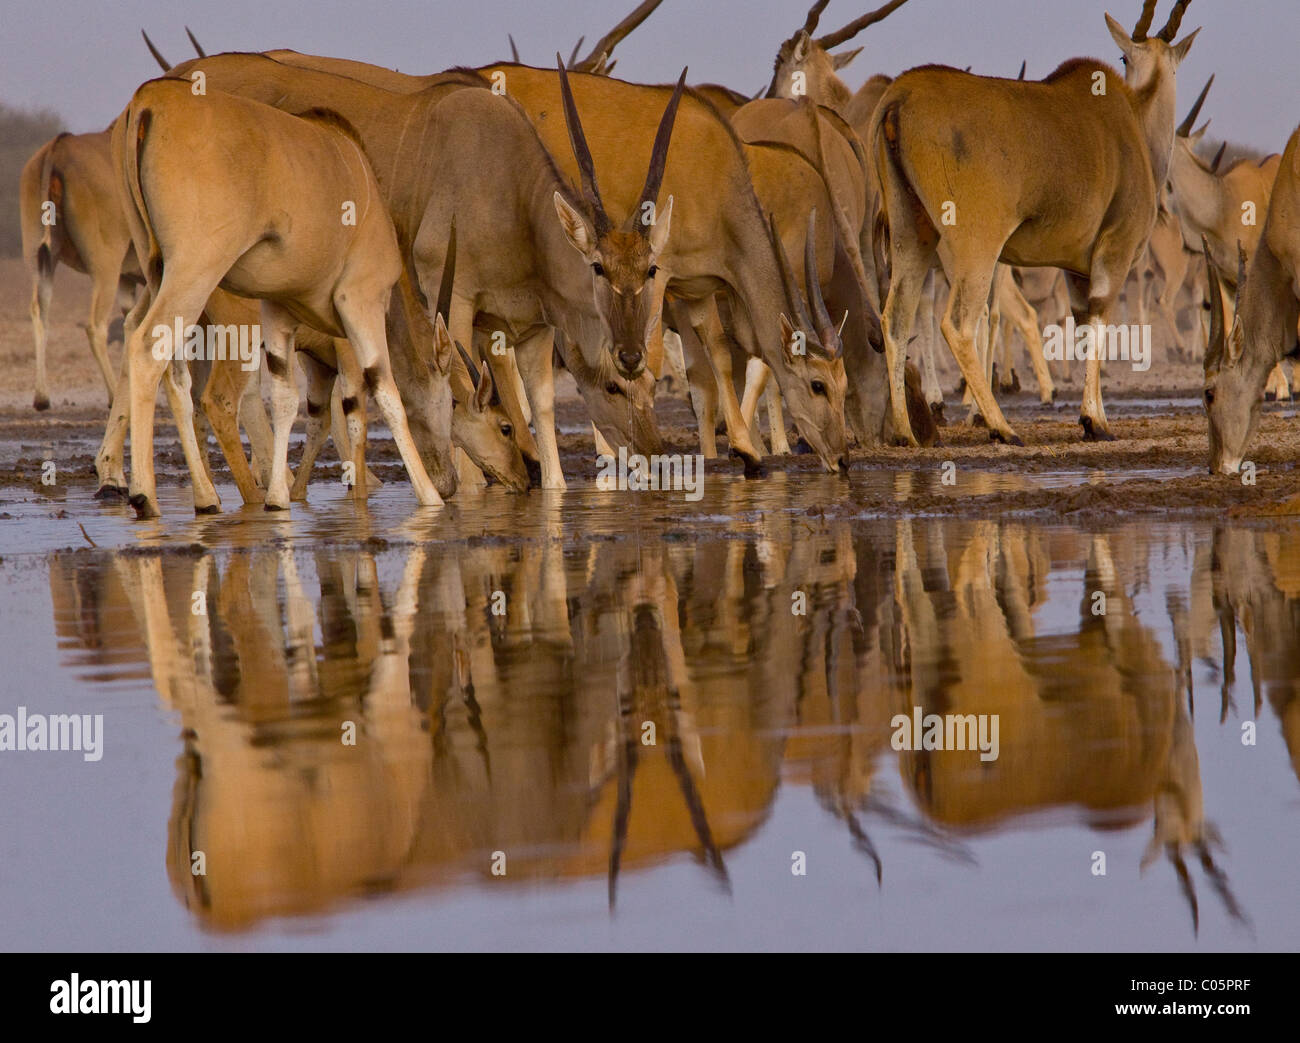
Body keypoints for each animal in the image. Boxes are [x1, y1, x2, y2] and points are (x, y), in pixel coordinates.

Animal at [107, 79, 441, 517]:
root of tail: (152, 98)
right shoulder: (360, 302)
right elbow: (383, 391)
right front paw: (429, 497)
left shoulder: (279, 309)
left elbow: (285, 397)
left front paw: (279, 499)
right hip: (195, 273)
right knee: (149, 349)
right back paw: (146, 495)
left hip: (161, 273)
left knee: (175, 375)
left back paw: (207, 497)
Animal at [873, 0, 1196, 442]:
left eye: (1125, 57)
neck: (1132, 118)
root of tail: (899, 99)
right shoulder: (1114, 252)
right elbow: (1098, 320)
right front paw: (1095, 421)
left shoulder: (1076, 270)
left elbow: (1083, 324)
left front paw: (1093, 415)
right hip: (976, 248)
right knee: (959, 324)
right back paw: (1001, 426)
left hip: (911, 236)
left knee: (896, 319)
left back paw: (906, 432)